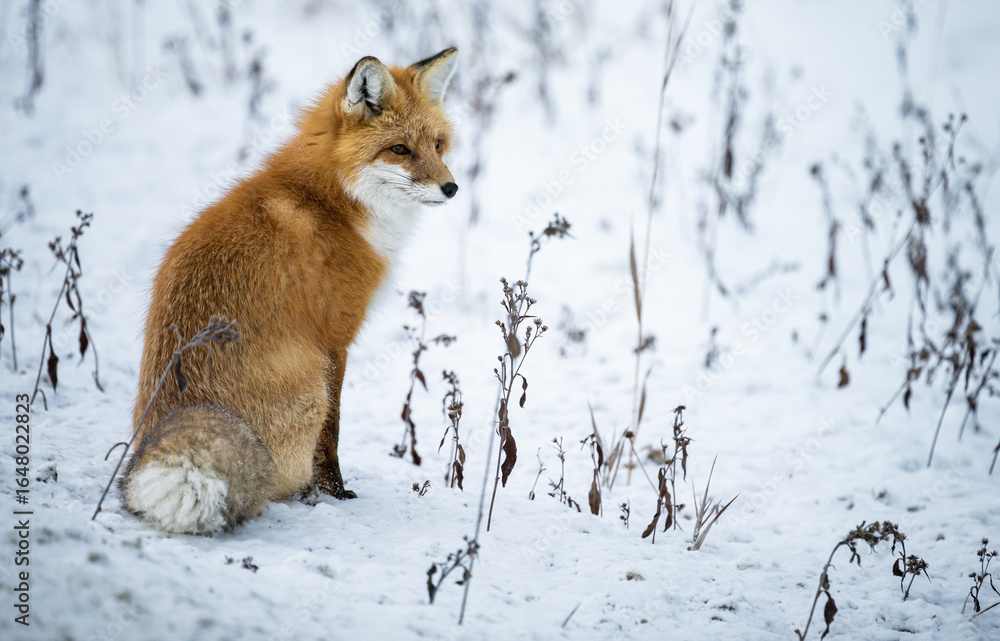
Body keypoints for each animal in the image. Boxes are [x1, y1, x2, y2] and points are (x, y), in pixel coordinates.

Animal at [121, 48, 460, 534]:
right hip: (309, 388)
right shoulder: (334, 341)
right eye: (400, 149)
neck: (334, 201)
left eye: (438, 145)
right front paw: (335, 492)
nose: (451, 187)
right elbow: (331, 436)